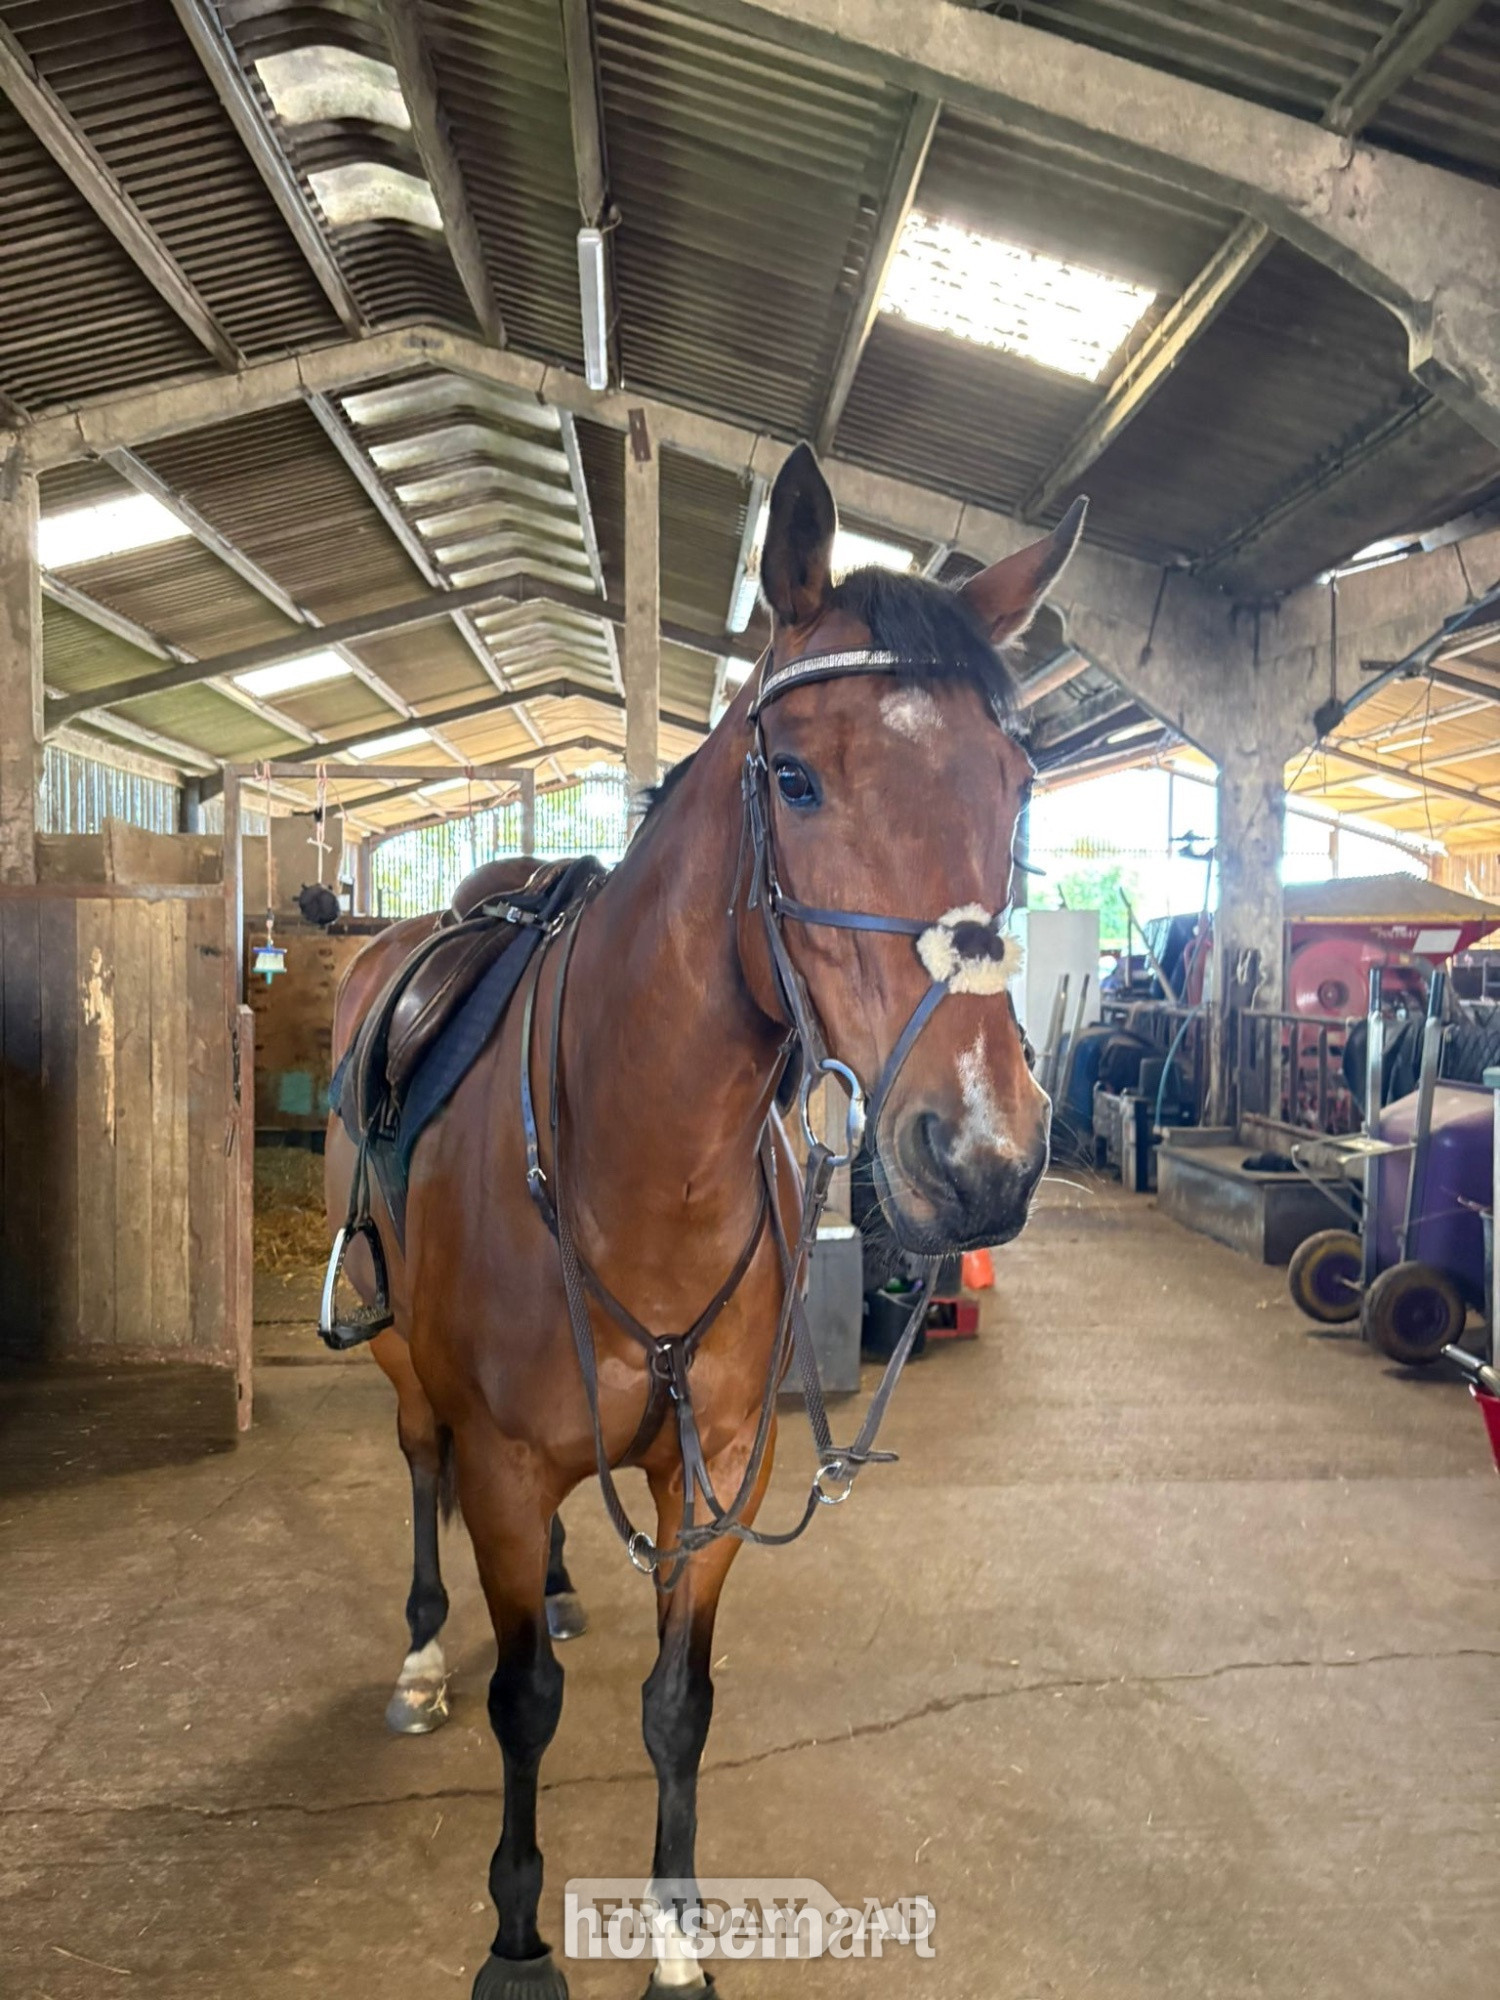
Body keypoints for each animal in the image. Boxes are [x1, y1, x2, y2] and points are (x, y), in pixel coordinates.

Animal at [325, 441, 1085, 1998]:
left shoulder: (718, 1469)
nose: (983, 1153)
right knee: (420, 1472)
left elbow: (679, 1702)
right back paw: (422, 1659)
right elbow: (529, 1703)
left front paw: (676, 1934)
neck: (640, 1169)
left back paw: (560, 1583)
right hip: (409, 1374)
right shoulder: (504, 1463)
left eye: (1020, 782)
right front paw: (516, 1940)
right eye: (794, 777)